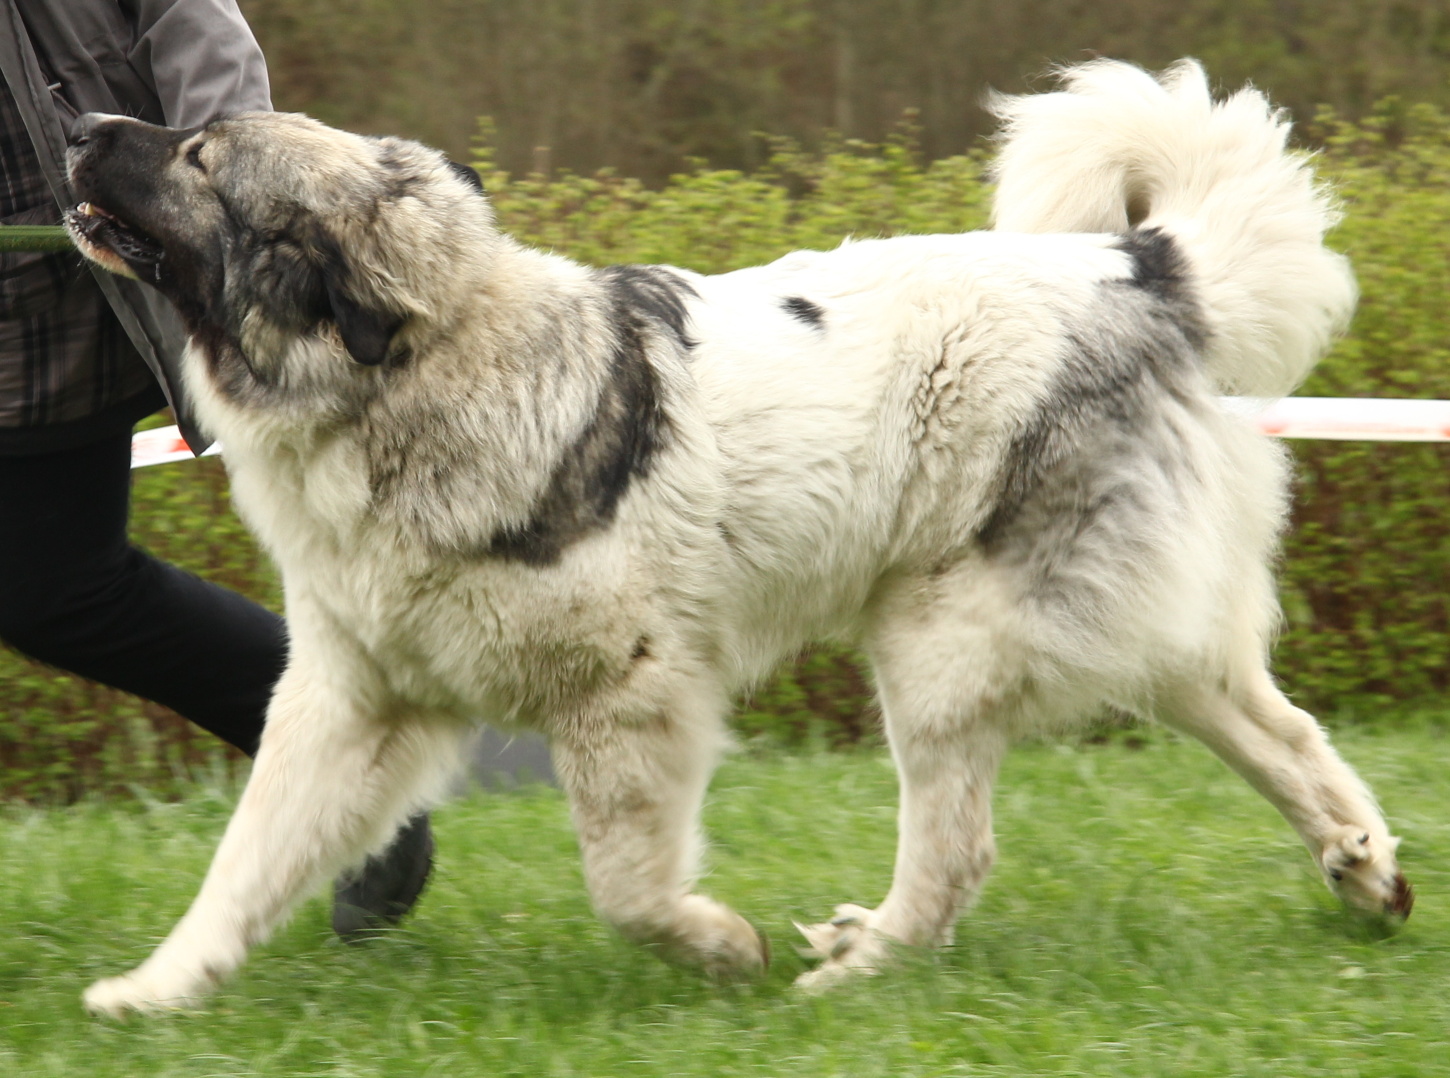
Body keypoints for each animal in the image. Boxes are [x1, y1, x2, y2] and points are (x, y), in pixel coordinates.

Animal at [62, 59, 1409, 1015]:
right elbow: (246, 861)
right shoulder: (351, 702)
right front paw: (155, 990)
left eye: (200, 155)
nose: (75, 125)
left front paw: (720, 948)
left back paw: (859, 964)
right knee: (1275, 730)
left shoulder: (628, 696)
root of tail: (1139, 268)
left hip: (939, 640)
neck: (406, 377)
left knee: (956, 850)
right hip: (1111, 627)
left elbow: (627, 888)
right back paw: (1362, 869)